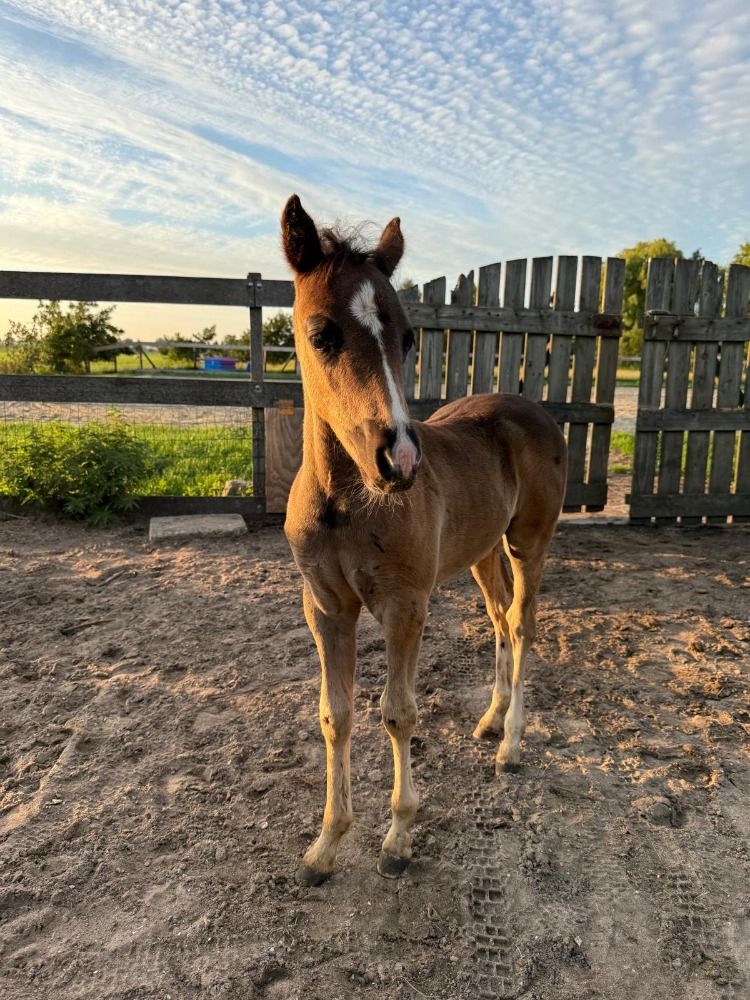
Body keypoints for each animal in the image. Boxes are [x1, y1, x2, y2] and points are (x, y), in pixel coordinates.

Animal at [281, 195, 567, 885]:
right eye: (321, 334)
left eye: (408, 337)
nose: (401, 460)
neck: (346, 503)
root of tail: (536, 410)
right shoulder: (325, 608)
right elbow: (336, 715)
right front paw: (325, 845)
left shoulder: (405, 605)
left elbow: (397, 712)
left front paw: (398, 837)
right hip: (483, 551)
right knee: (499, 617)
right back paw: (490, 720)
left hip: (529, 542)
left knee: (523, 624)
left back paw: (512, 744)